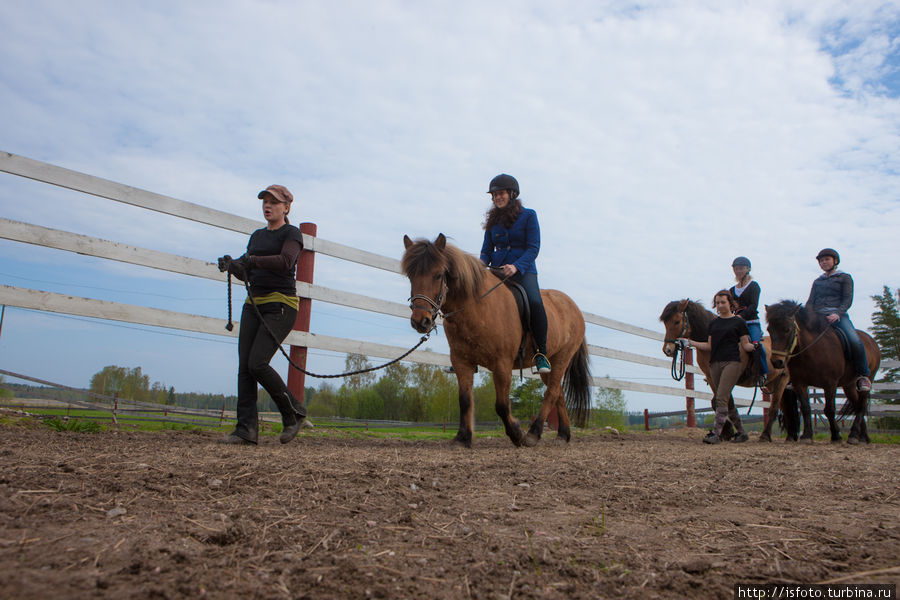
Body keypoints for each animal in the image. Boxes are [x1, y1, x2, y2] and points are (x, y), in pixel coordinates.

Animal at [400, 233, 592, 446]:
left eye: (438, 275)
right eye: (410, 276)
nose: (421, 321)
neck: (478, 307)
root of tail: (573, 306)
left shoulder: (502, 363)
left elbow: (501, 404)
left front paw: (516, 433)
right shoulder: (461, 361)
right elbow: (465, 400)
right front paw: (462, 437)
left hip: (562, 358)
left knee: (550, 393)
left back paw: (533, 433)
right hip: (549, 365)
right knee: (558, 393)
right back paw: (563, 434)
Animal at [656, 298, 792, 440]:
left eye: (677, 321)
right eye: (665, 323)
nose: (667, 350)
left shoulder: (731, 375)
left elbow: (724, 402)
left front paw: (730, 432)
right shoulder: (711, 376)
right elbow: (717, 402)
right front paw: (727, 432)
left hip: (782, 380)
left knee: (774, 408)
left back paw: (766, 436)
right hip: (772, 383)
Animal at [764, 302, 884, 442]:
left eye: (787, 329)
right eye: (769, 330)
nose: (776, 362)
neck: (811, 351)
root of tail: (871, 341)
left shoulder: (830, 384)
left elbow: (829, 409)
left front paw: (836, 435)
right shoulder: (799, 383)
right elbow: (806, 408)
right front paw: (807, 435)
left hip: (868, 378)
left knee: (862, 405)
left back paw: (854, 435)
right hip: (849, 385)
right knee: (856, 404)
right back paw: (863, 437)